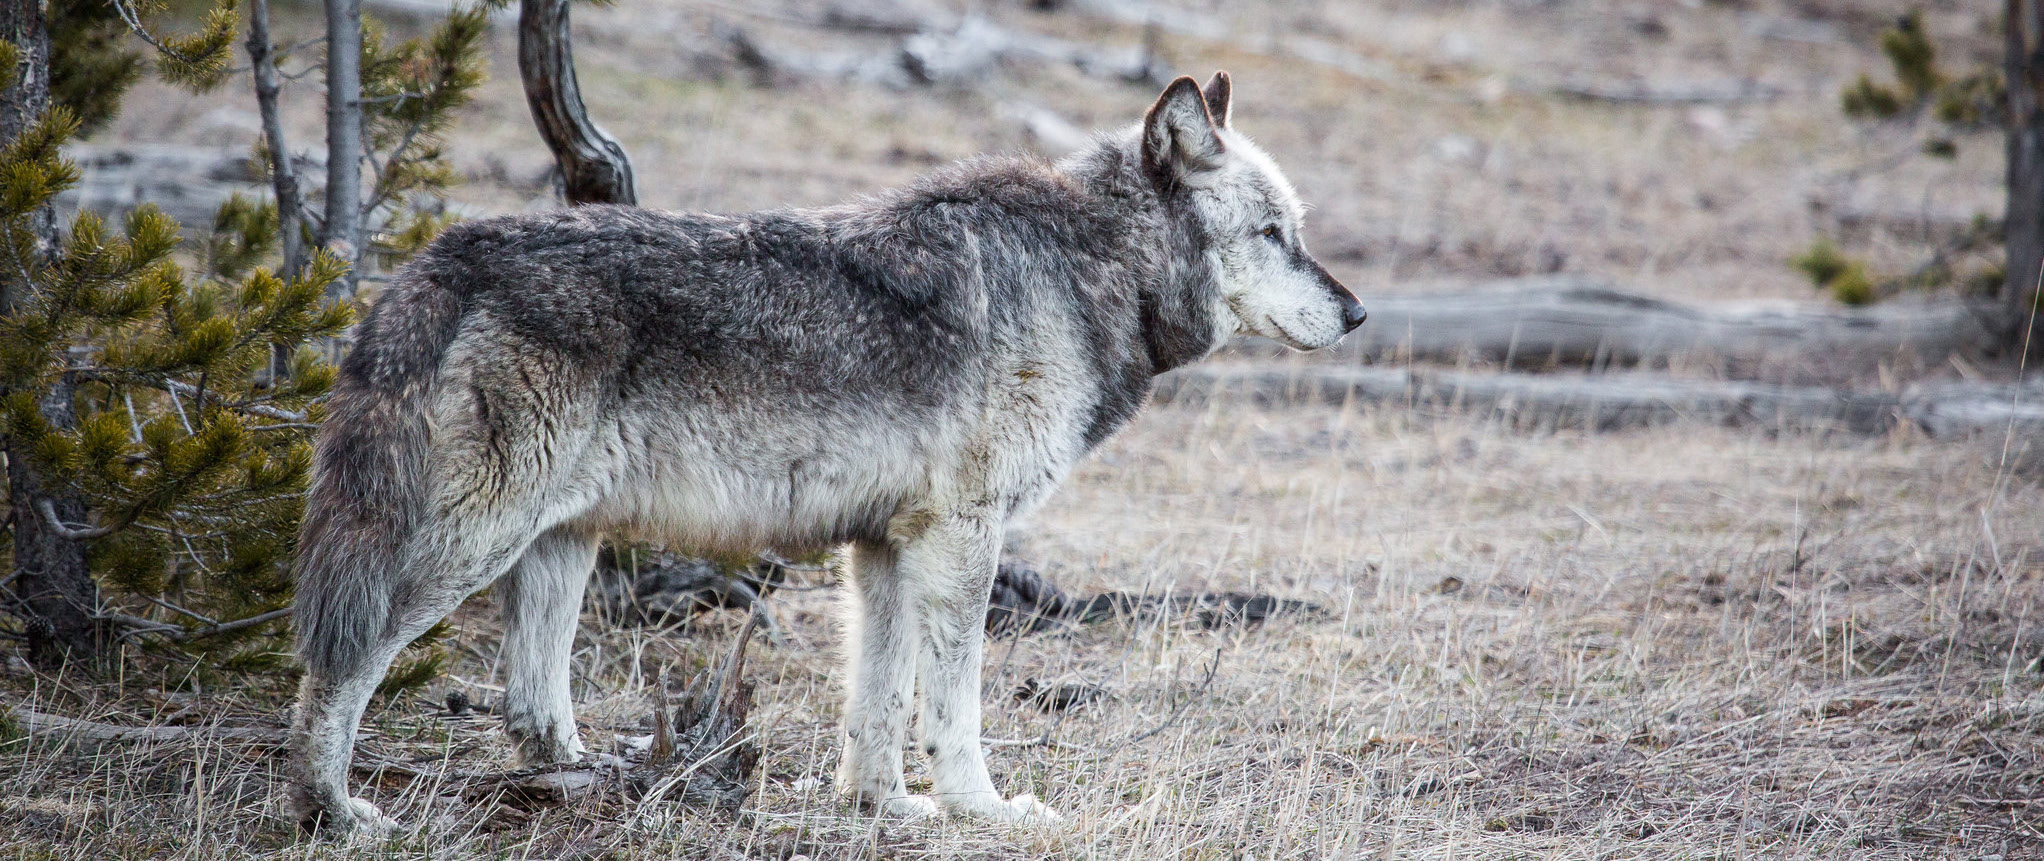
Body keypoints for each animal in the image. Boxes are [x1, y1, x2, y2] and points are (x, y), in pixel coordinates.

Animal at [288, 73, 1365, 830]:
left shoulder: (884, 546)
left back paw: (593, 781)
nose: (1357, 313)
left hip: (560, 546)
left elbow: (876, 703)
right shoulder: (962, 538)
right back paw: (332, 811)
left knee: (529, 707)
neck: (1089, 267)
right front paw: (983, 809)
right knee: (340, 663)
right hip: (472, 546)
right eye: (1273, 234)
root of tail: (440, 257)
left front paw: (882, 805)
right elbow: (953, 704)